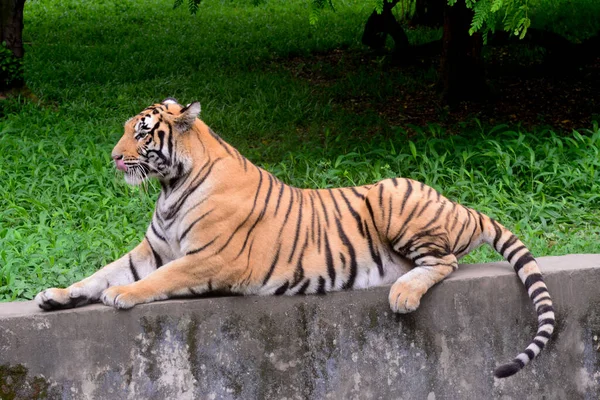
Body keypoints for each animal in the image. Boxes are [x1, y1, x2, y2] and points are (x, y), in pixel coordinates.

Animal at [35, 97, 556, 378]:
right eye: (127, 129)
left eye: (142, 134)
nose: (113, 157)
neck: (169, 187)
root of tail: (458, 205)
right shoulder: (152, 249)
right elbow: (100, 273)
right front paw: (55, 295)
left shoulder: (210, 258)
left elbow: (155, 280)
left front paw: (122, 295)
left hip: (393, 195)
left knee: (445, 262)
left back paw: (404, 294)